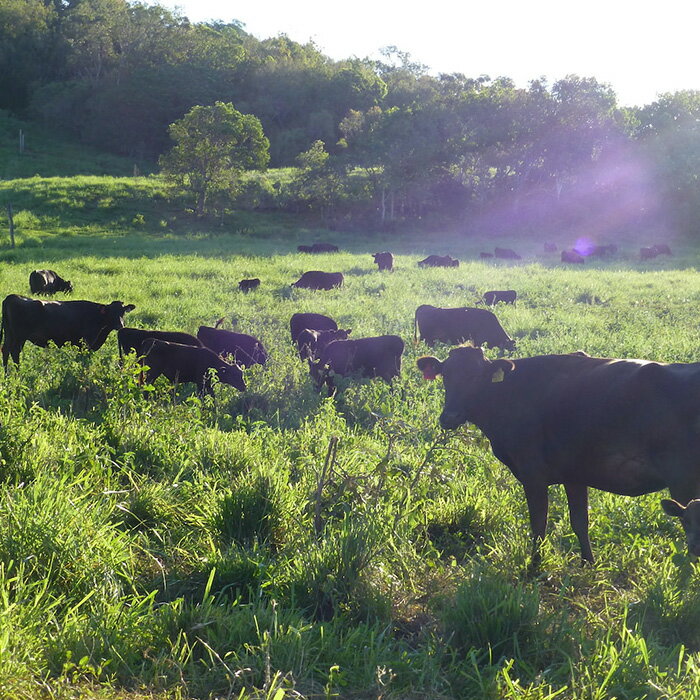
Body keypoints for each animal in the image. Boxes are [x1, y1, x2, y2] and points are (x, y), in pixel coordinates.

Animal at [0, 292, 135, 366]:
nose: (120, 325)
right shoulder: (86, 343)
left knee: (5, 350)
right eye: (111, 312)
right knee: (14, 352)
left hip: (10, 334)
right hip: (19, 336)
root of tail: (12, 296)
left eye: (123, 312)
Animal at [416, 348, 700, 568]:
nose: (449, 417)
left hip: (684, 483)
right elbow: (579, 522)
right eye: (446, 375)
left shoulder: (533, 475)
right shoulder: (575, 475)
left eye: (478, 377)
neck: (511, 395)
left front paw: (535, 566)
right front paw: (588, 563)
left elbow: (538, 524)